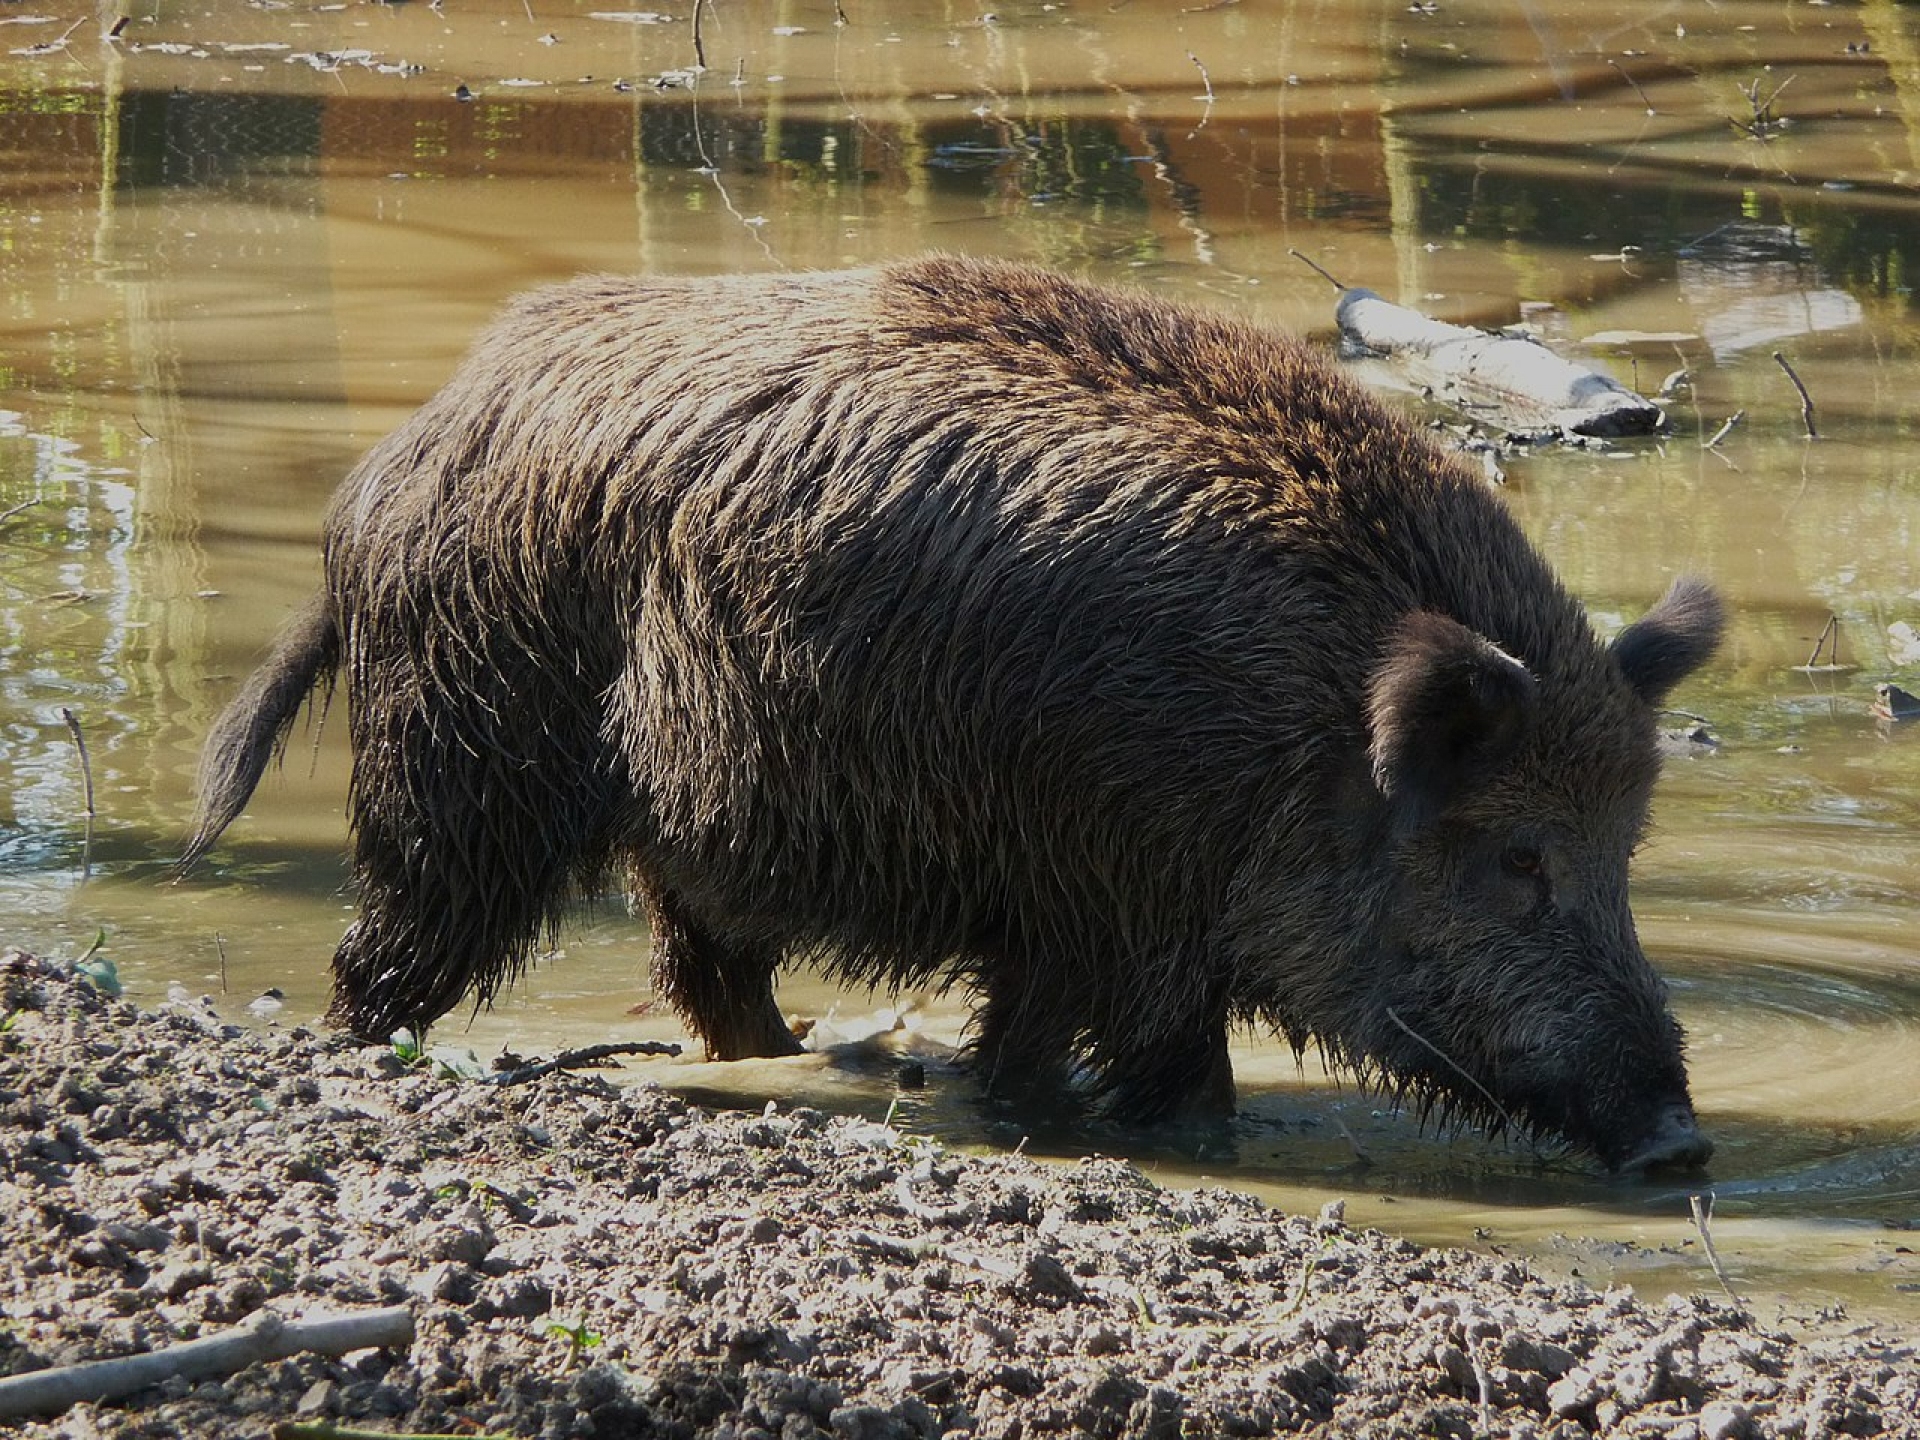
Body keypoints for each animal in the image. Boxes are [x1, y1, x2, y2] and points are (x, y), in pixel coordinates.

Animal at [185, 254, 1723, 1172]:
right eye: (1518, 858)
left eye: (1625, 856)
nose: (1680, 1142)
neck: (1295, 725)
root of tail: (399, 459)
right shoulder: (1130, 899)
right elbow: (1175, 1080)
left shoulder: (1065, 911)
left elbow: (1029, 1053)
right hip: (464, 760)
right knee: (381, 958)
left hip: (673, 819)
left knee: (706, 974)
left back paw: (788, 1058)